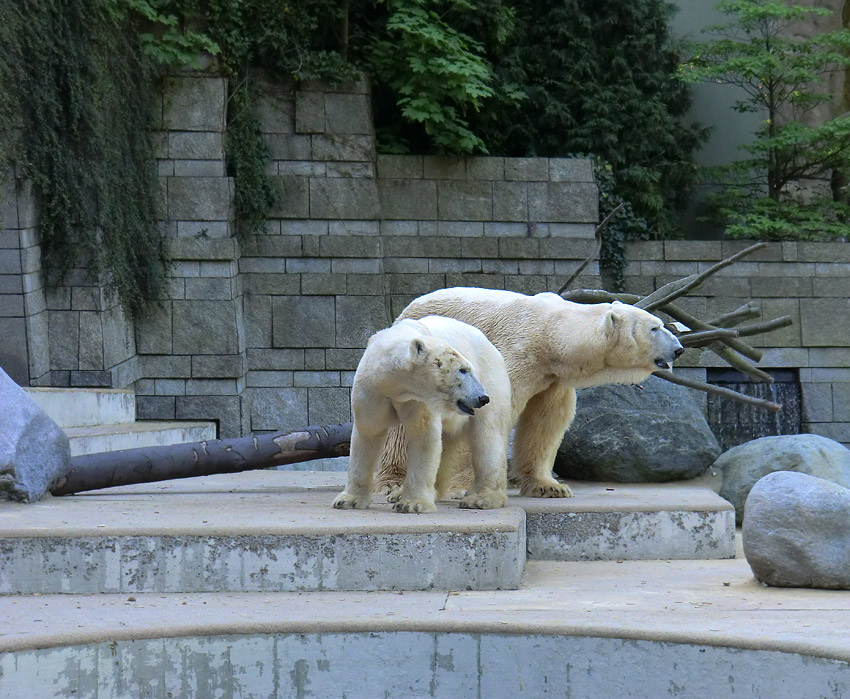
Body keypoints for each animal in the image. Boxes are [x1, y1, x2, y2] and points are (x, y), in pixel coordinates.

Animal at [330, 316, 510, 516]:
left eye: (469, 369)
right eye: (463, 370)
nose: (482, 397)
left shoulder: (419, 399)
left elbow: (423, 436)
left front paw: (413, 504)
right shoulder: (371, 390)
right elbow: (368, 433)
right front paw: (348, 500)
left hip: (492, 377)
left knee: (488, 435)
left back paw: (481, 499)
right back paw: (401, 493)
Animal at [378, 288, 684, 498]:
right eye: (655, 327)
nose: (679, 349)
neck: (549, 334)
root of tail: (406, 309)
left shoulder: (552, 379)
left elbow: (546, 422)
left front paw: (549, 486)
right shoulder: (511, 355)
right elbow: (484, 412)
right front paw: (460, 488)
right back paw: (392, 482)